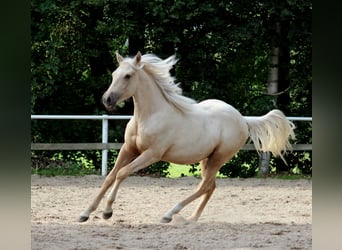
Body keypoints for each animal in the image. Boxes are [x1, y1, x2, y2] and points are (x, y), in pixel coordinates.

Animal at [79, 51, 296, 223]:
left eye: (128, 76)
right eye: (114, 74)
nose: (107, 99)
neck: (149, 117)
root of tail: (243, 119)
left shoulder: (152, 154)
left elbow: (122, 173)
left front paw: (107, 212)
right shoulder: (128, 149)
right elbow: (110, 176)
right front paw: (85, 213)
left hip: (219, 158)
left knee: (204, 186)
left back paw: (170, 214)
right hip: (207, 159)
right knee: (210, 186)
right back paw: (192, 218)